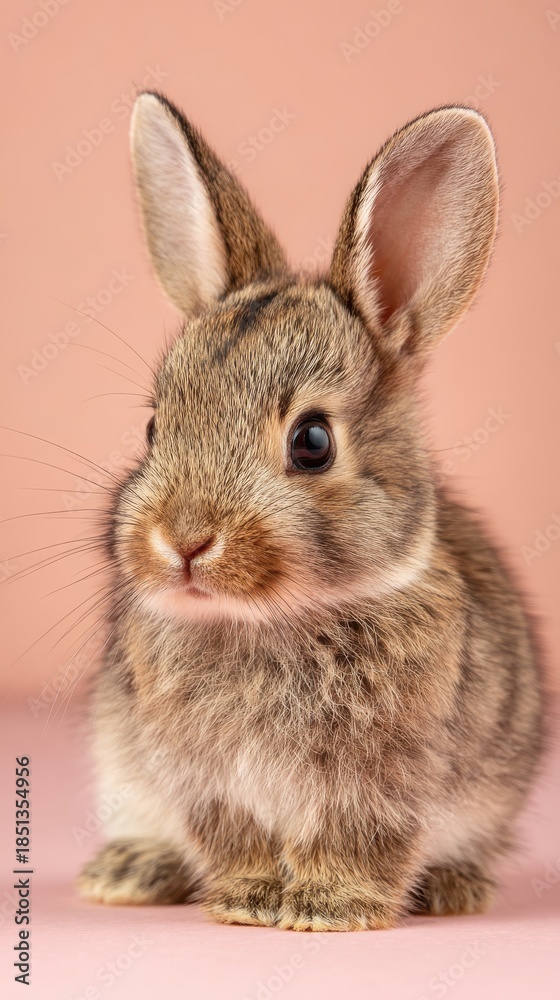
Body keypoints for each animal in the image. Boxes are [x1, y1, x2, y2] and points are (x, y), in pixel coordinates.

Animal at [77, 93, 544, 931]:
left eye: (313, 442)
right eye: (155, 428)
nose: (182, 540)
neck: (271, 618)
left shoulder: (385, 781)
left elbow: (361, 840)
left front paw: (327, 909)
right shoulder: (205, 781)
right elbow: (234, 837)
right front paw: (249, 900)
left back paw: (454, 889)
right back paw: (128, 872)